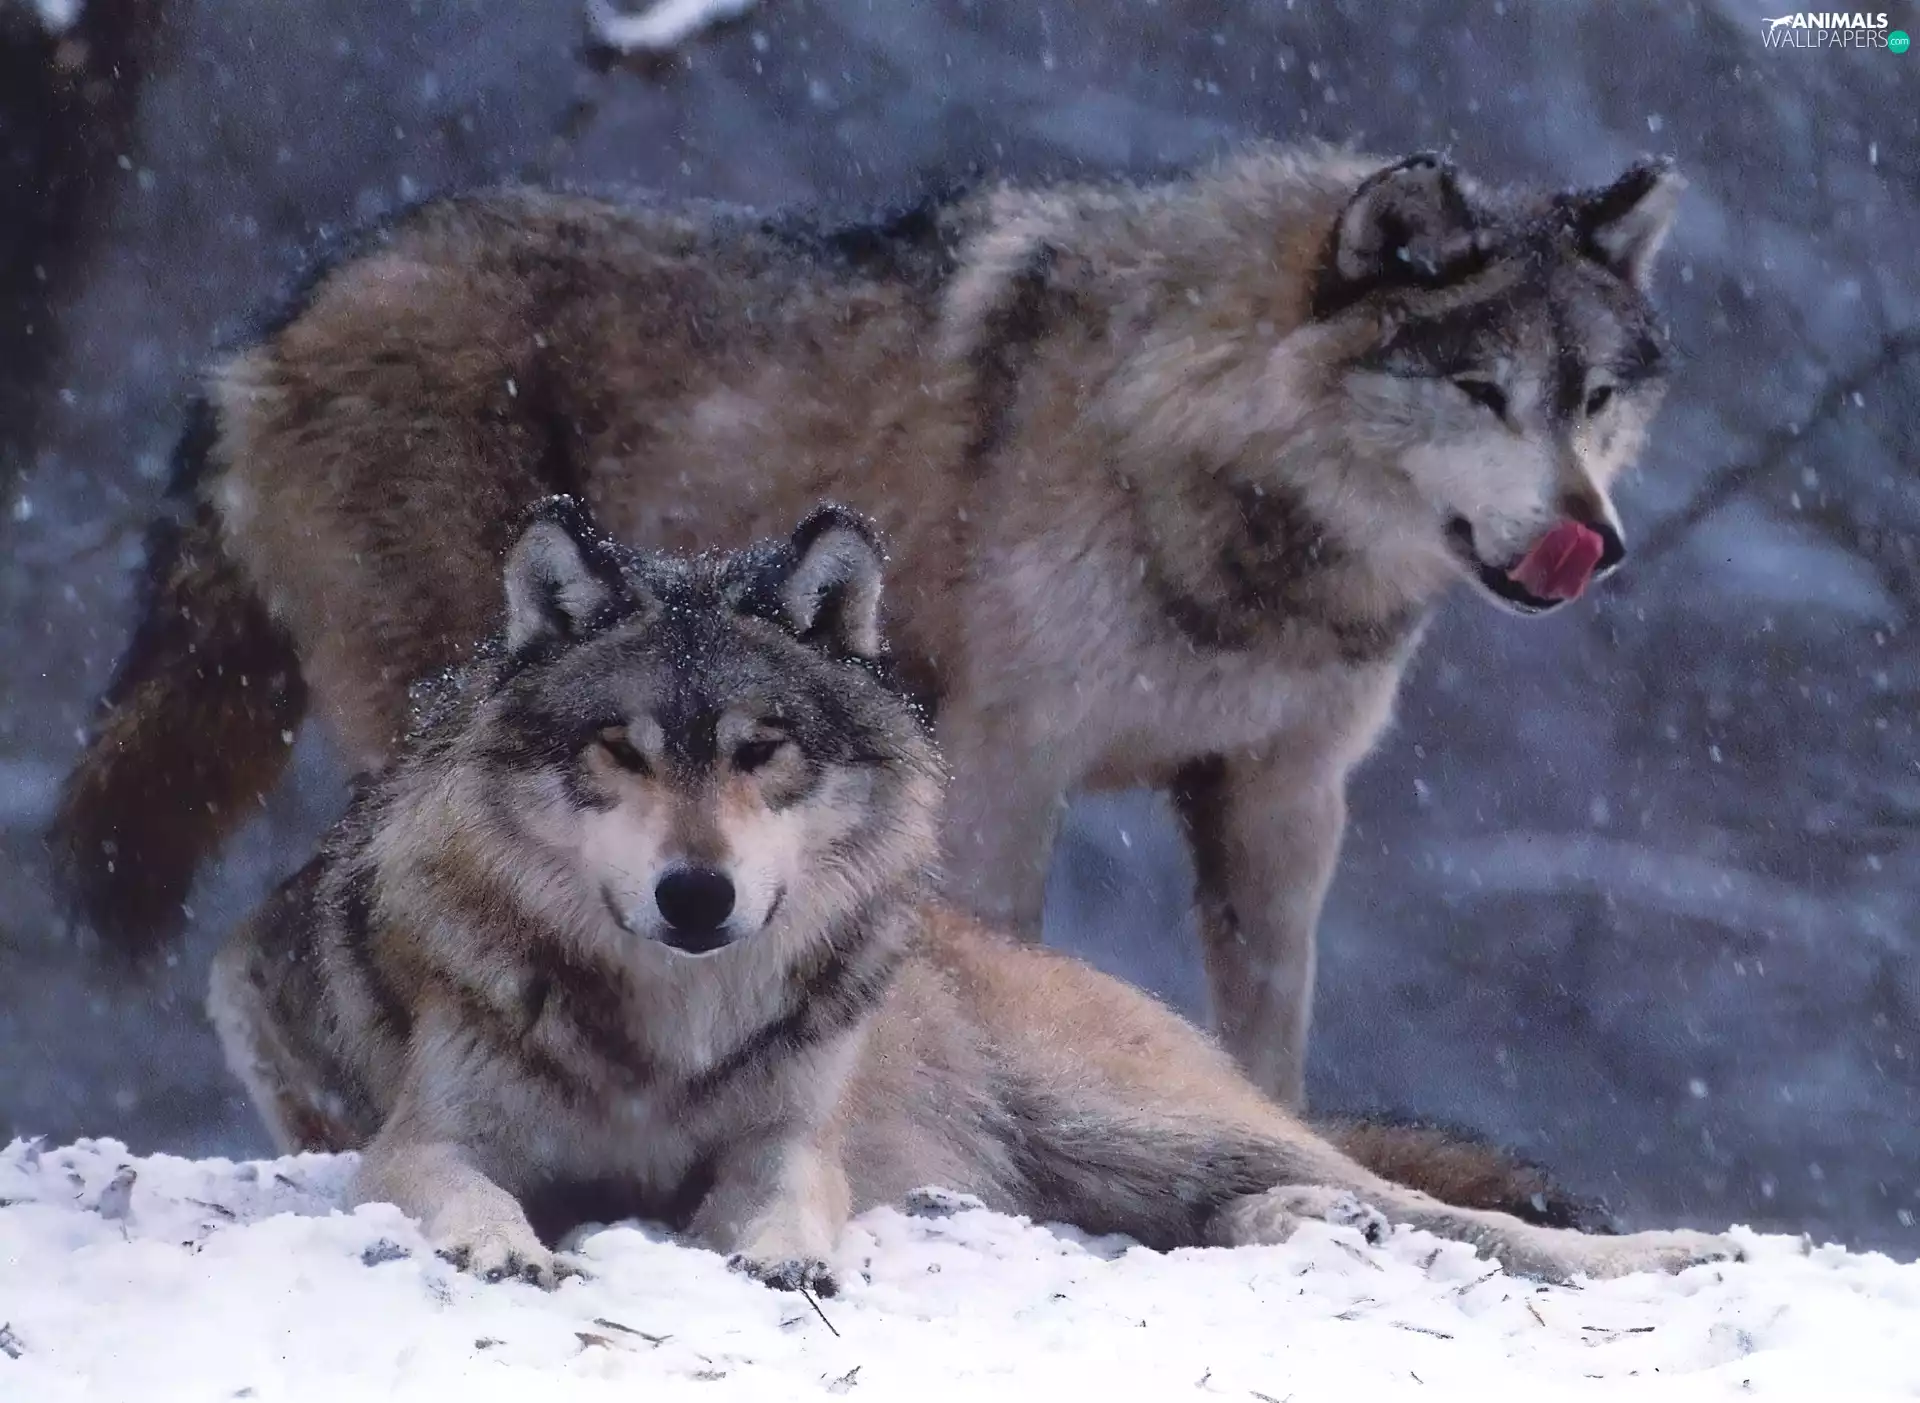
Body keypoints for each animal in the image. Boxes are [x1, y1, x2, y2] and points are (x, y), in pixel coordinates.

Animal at [57, 142, 1686, 1107]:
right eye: (1480, 390)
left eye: (1597, 397)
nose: (1593, 543)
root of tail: (262, 330)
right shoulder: (1011, 765)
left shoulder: (1281, 797)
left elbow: (1269, 1035)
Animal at [204, 499, 1737, 1292]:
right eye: (622, 752)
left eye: (762, 750)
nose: (696, 893)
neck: (666, 1027)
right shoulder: (416, 1139)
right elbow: (456, 1186)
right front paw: (500, 1241)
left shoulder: (789, 1143)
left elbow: (785, 1200)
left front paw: (785, 1259)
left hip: (1133, 1121)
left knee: (1444, 1204)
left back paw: (1669, 1244)